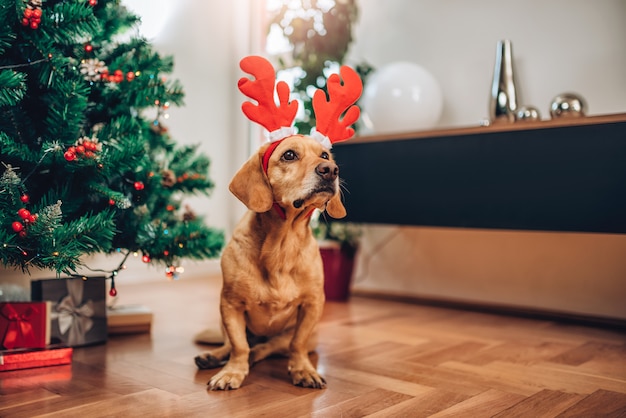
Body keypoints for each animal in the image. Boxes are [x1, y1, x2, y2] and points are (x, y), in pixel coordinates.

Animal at [193, 133, 344, 388]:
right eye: (289, 155)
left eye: (325, 155)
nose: (330, 170)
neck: (282, 246)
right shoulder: (230, 305)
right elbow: (238, 346)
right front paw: (232, 372)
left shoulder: (313, 305)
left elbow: (297, 344)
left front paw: (303, 369)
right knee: (232, 345)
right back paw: (213, 357)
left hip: (292, 337)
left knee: (265, 348)